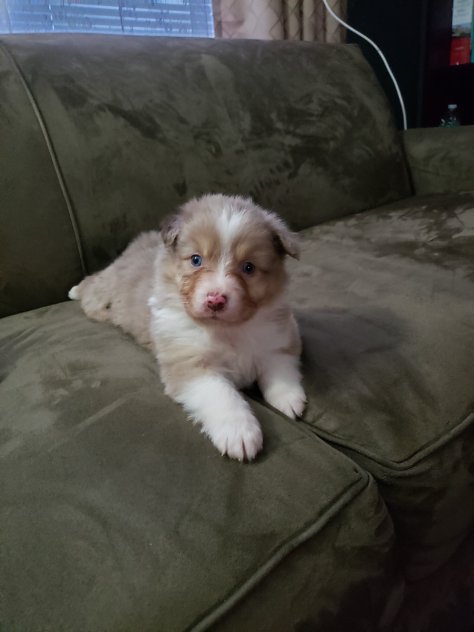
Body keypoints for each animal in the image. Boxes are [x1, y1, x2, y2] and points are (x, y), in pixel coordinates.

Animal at [69, 194, 306, 461]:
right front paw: (240, 434)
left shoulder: (279, 337)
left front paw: (288, 398)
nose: (215, 300)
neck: (228, 329)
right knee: (93, 285)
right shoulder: (190, 365)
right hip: (104, 293)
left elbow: (280, 368)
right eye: (196, 260)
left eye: (248, 267)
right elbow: (222, 395)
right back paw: (76, 290)